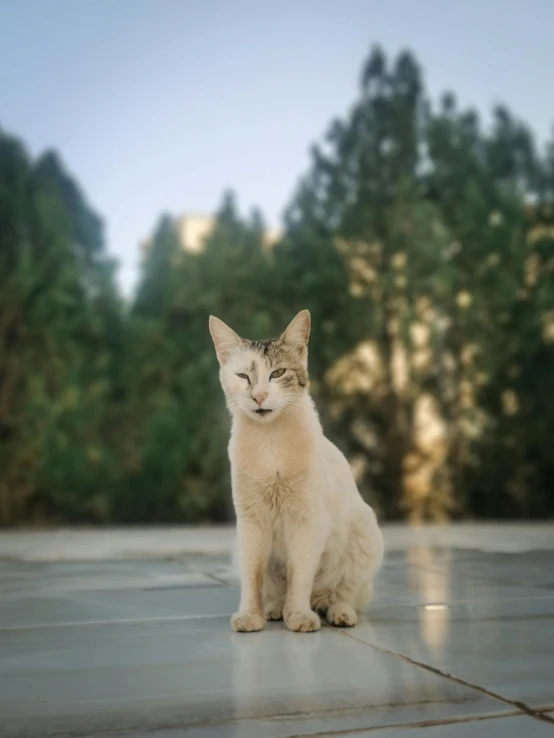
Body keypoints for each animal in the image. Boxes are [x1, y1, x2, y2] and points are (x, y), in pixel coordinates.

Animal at [209, 308, 382, 628]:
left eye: (277, 373)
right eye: (243, 376)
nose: (259, 396)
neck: (270, 441)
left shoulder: (307, 520)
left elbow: (300, 576)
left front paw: (300, 616)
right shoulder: (251, 522)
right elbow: (253, 576)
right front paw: (251, 616)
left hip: (366, 534)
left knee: (341, 593)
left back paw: (338, 612)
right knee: (277, 589)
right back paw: (275, 608)